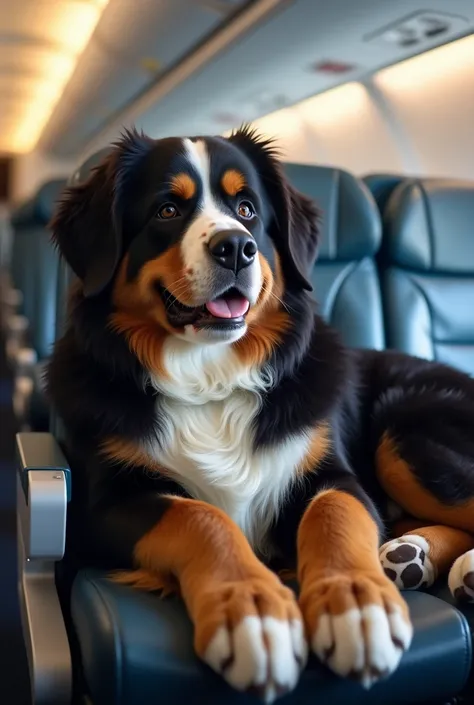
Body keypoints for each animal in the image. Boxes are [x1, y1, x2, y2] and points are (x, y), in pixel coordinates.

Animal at [47, 128, 474, 704]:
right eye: (166, 209)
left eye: (247, 209)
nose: (236, 246)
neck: (210, 379)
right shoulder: (101, 507)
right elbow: (200, 516)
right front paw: (251, 612)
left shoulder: (331, 472)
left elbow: (333, 513)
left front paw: (355, 603)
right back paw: (413, 554)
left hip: (404, 434)